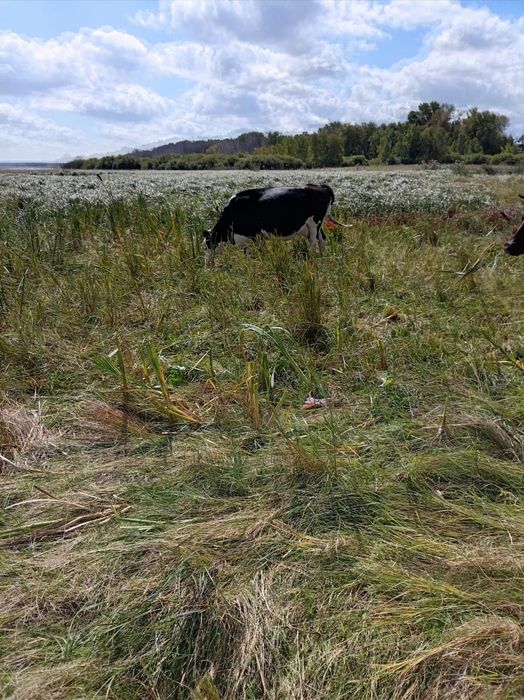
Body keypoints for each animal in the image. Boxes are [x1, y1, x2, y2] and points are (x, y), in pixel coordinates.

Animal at [203, 184, 340, 262]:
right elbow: (247, 254)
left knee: (313, 243)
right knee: (322, 239)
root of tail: (322, 187)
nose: (207, 265)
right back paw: (322, 258)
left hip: (313, 223)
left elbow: (261, 252)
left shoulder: (257, 236)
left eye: (207, 245)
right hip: (317, 225)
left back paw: (312, 259)